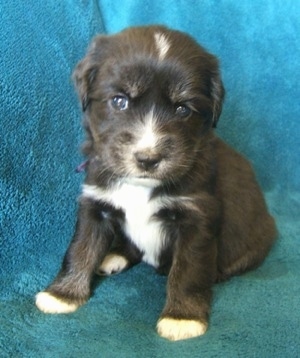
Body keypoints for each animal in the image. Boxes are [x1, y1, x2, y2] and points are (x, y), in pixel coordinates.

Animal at [35, 25, 276, 342]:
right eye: (120, 101)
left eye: (183, 109)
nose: (148, 158)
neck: (140, 186)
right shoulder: (96, 203)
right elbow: (81, 248)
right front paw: (62, 294)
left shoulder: (197, 217)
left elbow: (188, 271)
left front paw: (182, 317)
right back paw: (112, 256)